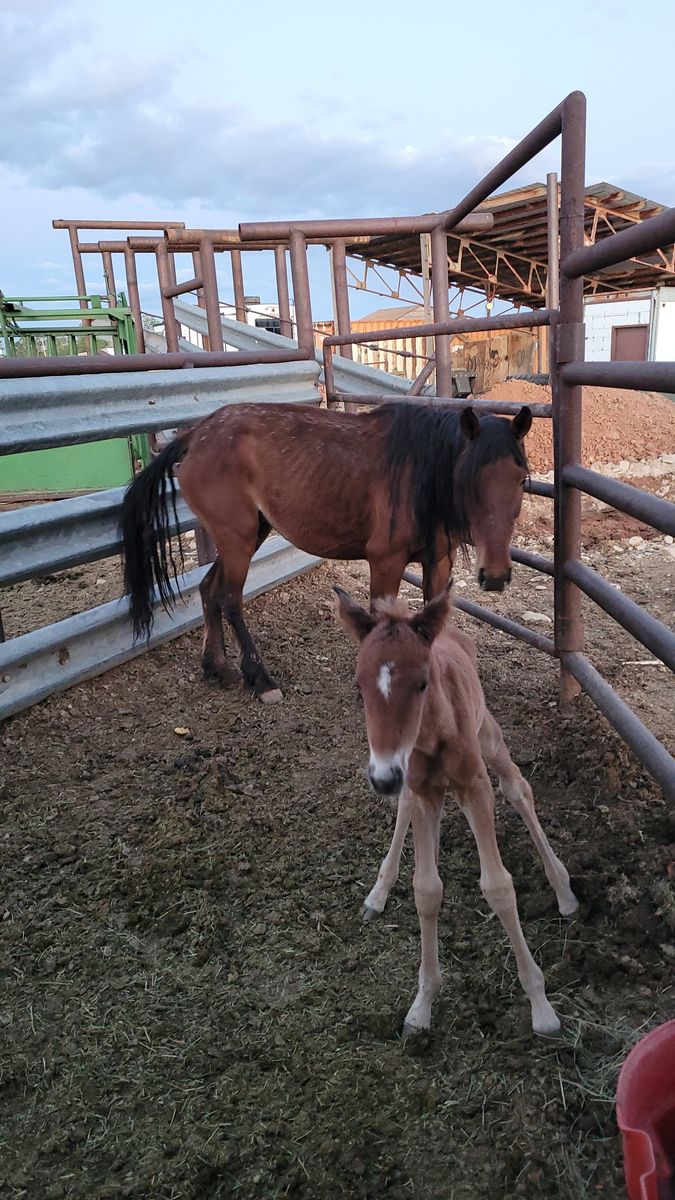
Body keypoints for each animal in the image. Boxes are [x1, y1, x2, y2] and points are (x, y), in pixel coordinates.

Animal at [120, 399, 532, 701]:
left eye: (520, 479)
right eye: (469, 478)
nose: (495, 576)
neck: (420, 473)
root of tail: (196, 434)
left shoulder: (439, 562)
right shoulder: (386, 562)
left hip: (246, 534)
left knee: (208, 590)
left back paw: (216, 667)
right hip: (237, 539)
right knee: (229, 598)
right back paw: (261, 679)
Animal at [335, 585, 578, 1037]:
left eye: (422, 682)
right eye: (359, 688)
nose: (382, 778)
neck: (432, 735)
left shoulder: (474, 787)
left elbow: (498, 886)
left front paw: (541, 1006)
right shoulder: (421, 789)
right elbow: (427, 890)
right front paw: (421, 1007)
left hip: (489, 737)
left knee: (518, 789)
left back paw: (564, 891)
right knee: (406, 809)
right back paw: (378, 892)